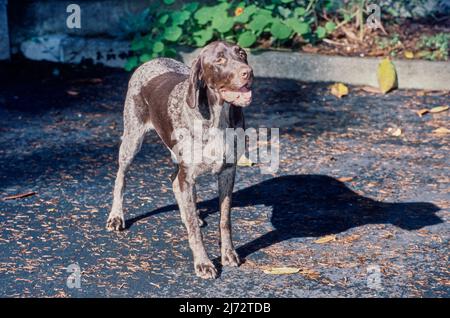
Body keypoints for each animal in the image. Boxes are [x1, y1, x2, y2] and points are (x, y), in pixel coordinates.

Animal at [105, 40, 253, 278]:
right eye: (220, 59)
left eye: (241, 54)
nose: (248, 72)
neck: (216, 119)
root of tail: (152, 60)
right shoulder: (189, 176)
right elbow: (194, 230)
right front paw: (203, 263)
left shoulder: (228, 172)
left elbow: (225, 220)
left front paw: (228, 253)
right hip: (132, 140)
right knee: (121, 177)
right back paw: (116, 216)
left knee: (174, 181)